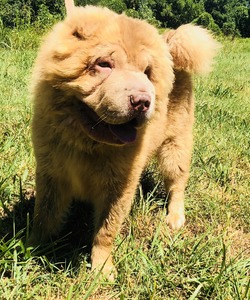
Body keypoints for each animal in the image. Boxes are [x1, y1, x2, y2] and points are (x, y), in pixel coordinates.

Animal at [29, 0, 220, 278]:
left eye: (147, 72)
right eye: (104, 64)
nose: (142, 101)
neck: (88, 144)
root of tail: (169, 45)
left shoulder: (120, 186)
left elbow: (106, 231)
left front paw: (102, 269)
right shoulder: (51, 173)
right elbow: (44, 215)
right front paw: (32, 249)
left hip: (176, 145)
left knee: (177, 183)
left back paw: (175, 217)